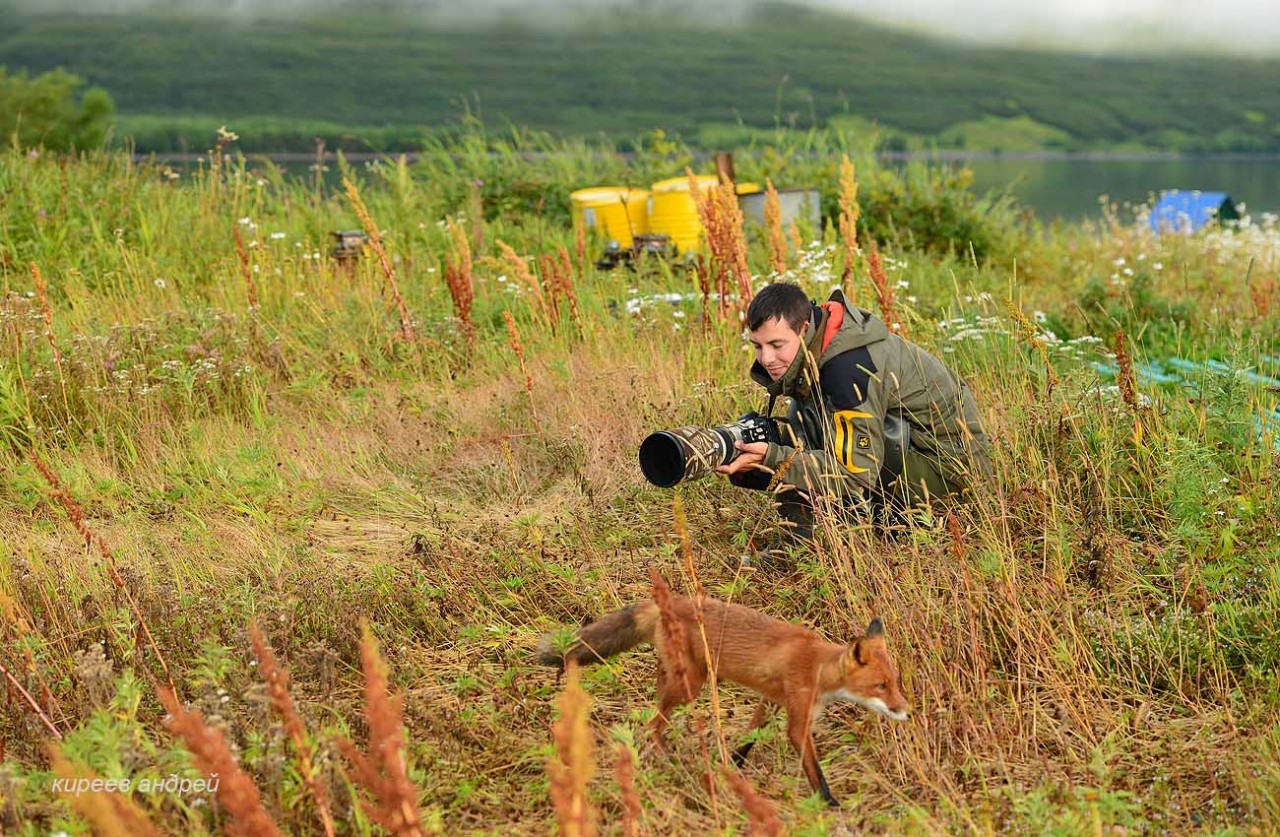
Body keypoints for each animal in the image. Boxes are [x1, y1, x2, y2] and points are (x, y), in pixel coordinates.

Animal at [535, 593, 906, 808]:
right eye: (880, 686)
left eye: (896, 683)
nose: (906, 710)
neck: (817, 666)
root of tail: (667, 601)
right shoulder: (798, 722)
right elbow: (816, 773)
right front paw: (831, 805)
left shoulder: (771, 699)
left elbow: (751, 735)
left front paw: (735, 766)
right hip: (691, 686)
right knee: (654, 722)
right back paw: (664, 758)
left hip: (678, 675)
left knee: (657, 707)